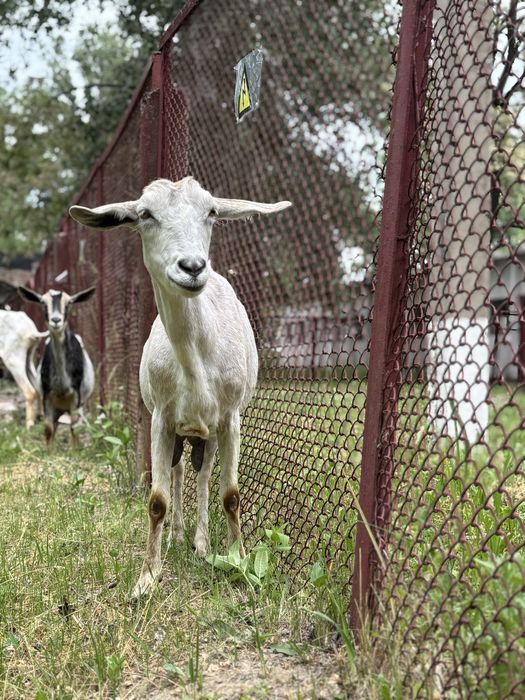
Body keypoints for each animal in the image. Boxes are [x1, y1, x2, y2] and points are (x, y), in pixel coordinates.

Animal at [17, 286, 96, 446]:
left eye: (69, 304)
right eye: (43, 303)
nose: (56, 320)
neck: (62, 387)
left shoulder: (76, 396)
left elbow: (74, 428)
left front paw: (75, 450)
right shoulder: (47, 395)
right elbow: (48, 428)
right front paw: (49, 450)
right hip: (57, 409)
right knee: (55, 426)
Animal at [70, 176, 291, 597]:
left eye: (212, 212)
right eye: (145, 214)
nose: (192, 267)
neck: (197, 357)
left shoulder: (230, 417)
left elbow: (231, 495)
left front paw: (240, 563)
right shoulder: (161, 417)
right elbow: (157, 499)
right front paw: (146, 578)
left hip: (208, 433)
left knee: (202, 476)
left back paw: (202, 545)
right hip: (180, 431)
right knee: (178, 472)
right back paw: (177, 536)